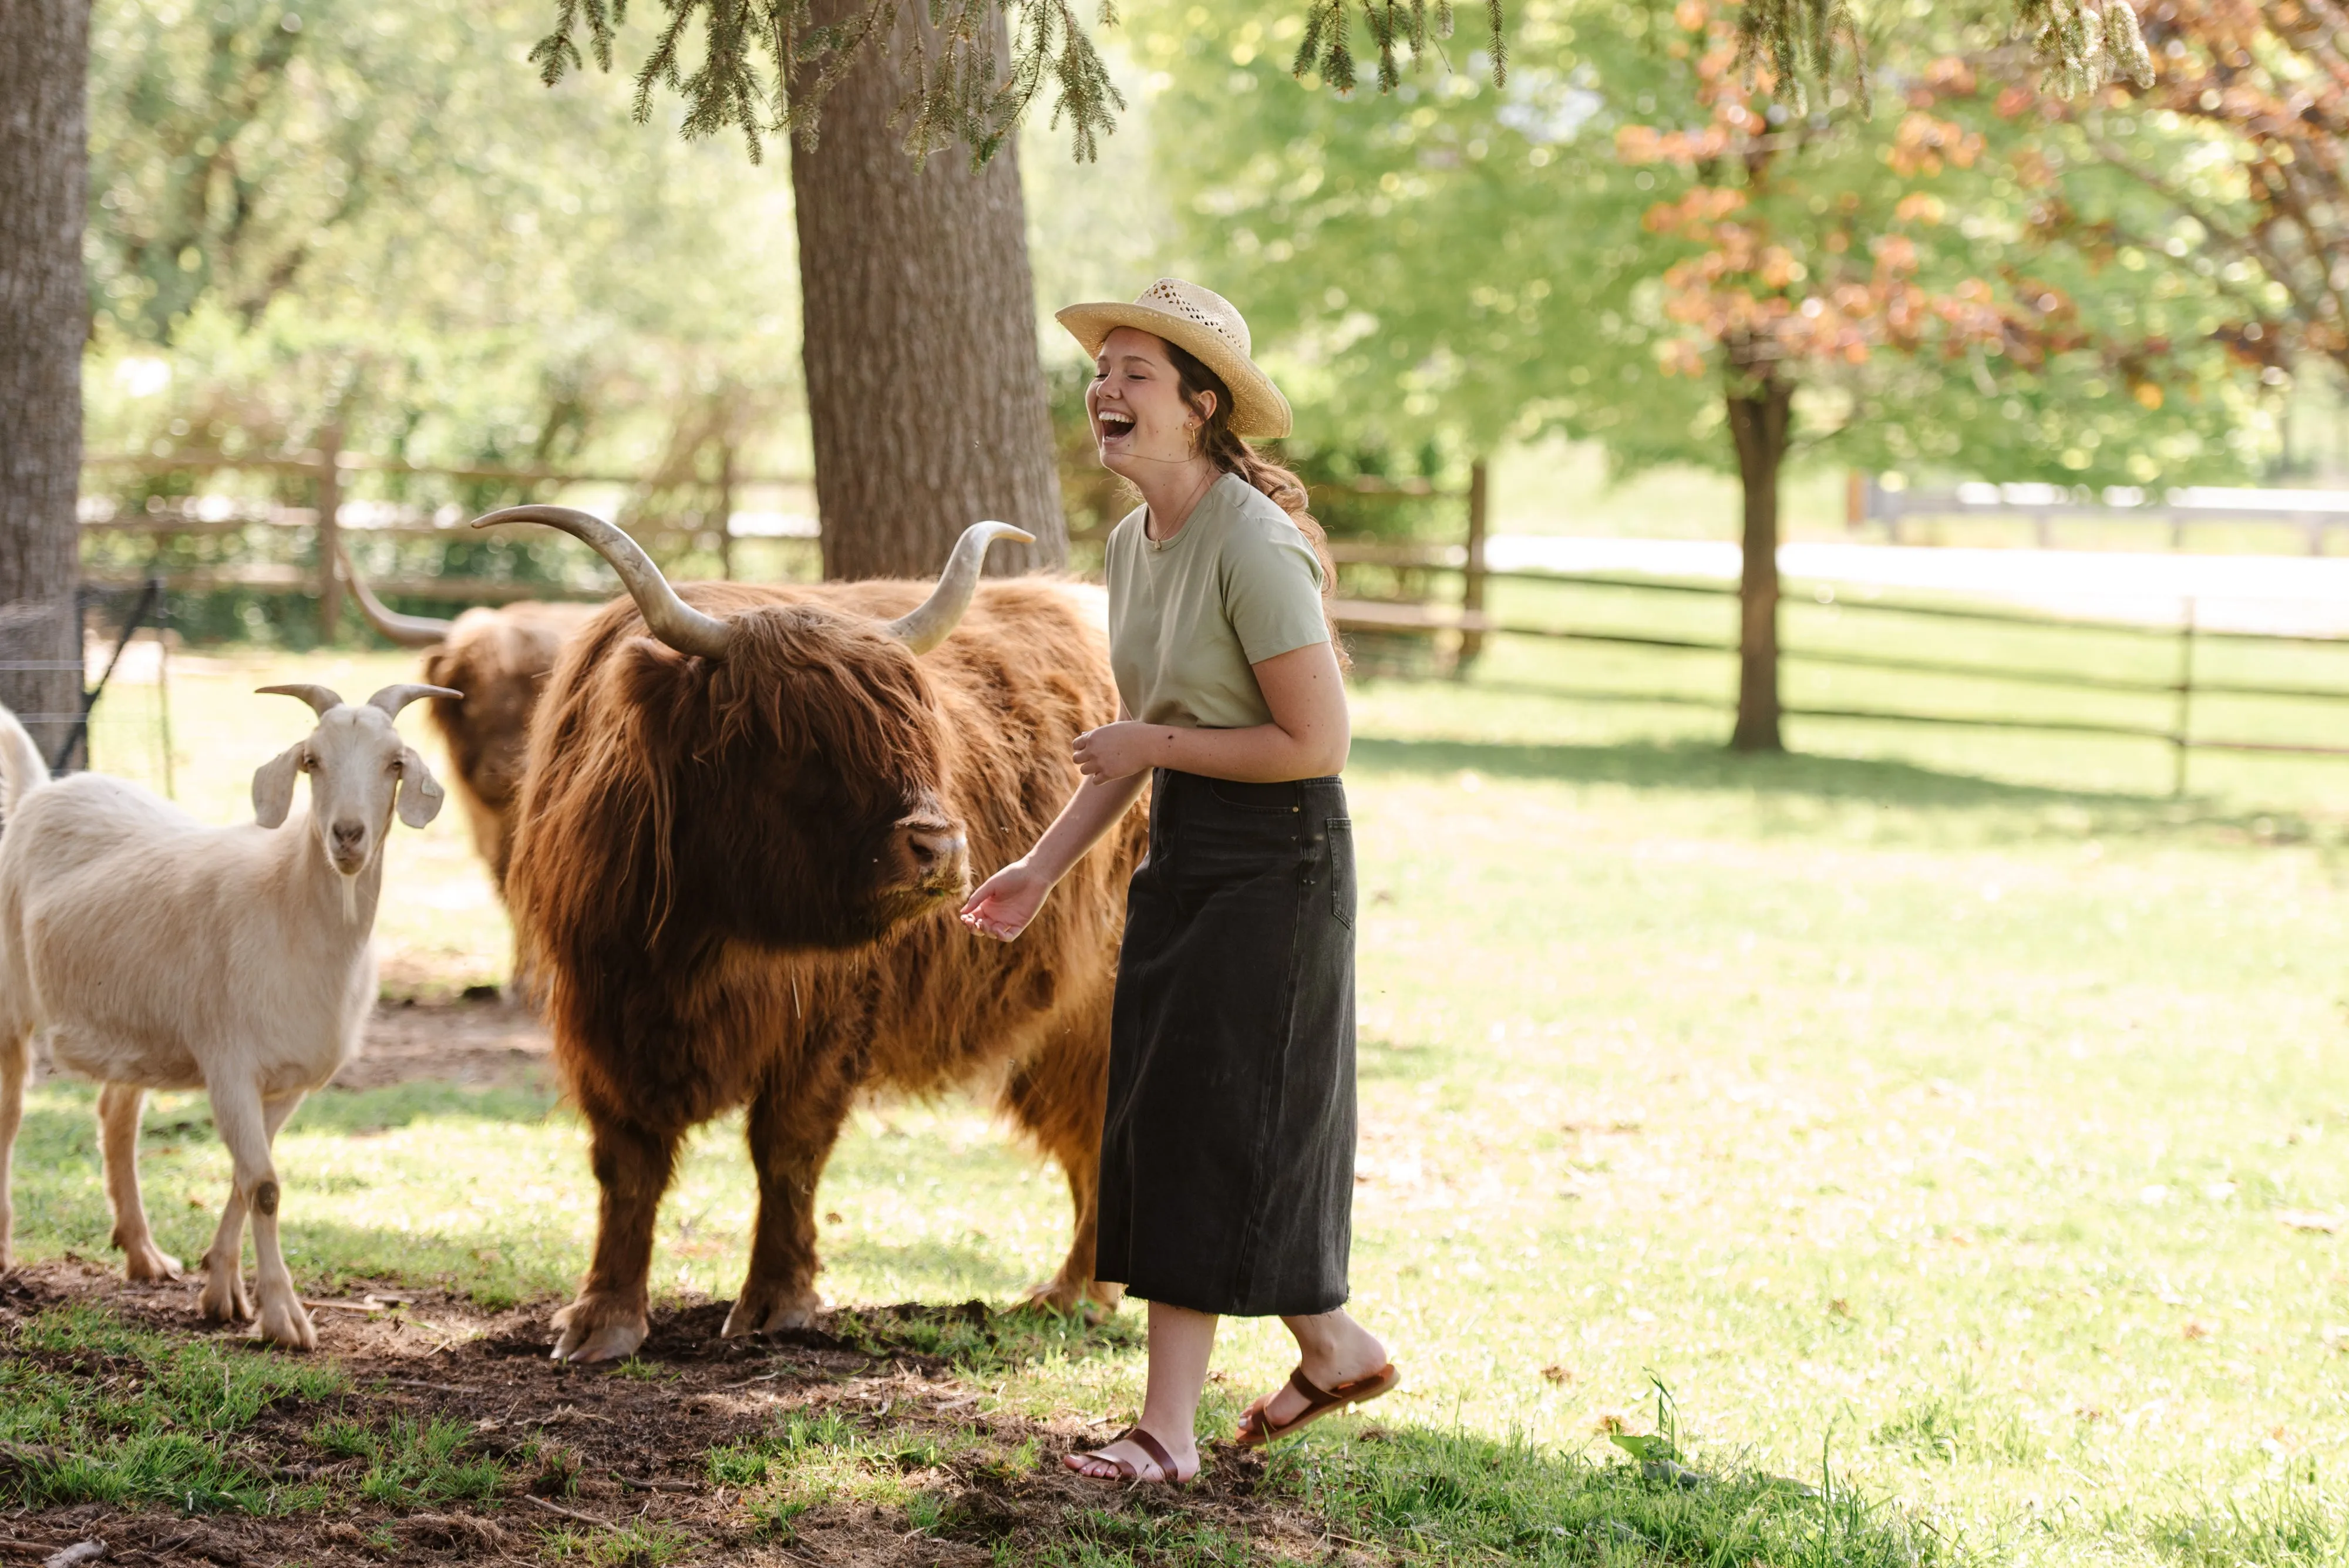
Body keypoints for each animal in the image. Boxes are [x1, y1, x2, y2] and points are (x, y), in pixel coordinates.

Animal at [0, 685, 458, 1352]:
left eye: (394, 763)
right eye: (311, 761)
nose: (348, 835)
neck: (290, 905)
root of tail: (40, 793)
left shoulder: (289, 1081)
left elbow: (247, 1180)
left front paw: (221, 1290)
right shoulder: (229, 1064)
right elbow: (264, 1186)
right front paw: (284, 1319)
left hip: (137, 1028)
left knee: (117, 1118)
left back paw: (143, 1253)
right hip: (12, 1003)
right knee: (10, 1116)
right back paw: (6, 1251)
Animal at [477, 504, 1137, 1361]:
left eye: (917, 725)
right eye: (791, 741)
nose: (940, 847)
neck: (700, 942)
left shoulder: (829, 1019)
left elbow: (787, 1151)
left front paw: (776, 1302)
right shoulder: (599, 1009)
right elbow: (626, 1161)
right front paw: (603, 1317)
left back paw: (1077, 1294)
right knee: (1085, 1131)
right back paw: (1076, 1291)